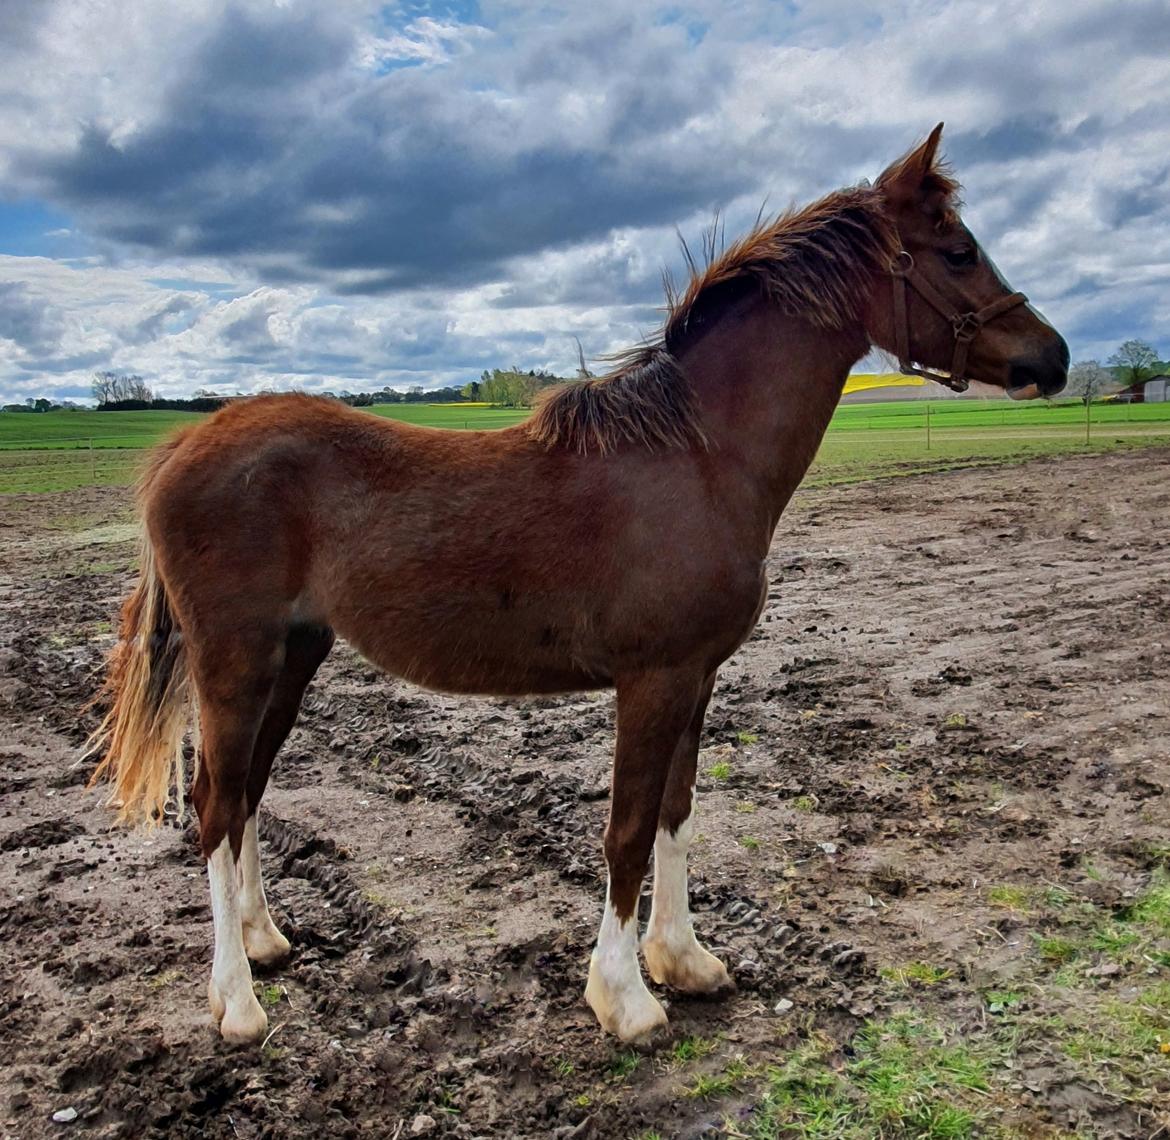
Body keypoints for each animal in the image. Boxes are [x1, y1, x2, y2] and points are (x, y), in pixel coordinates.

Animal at [86, 124, 1068, 1046]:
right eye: (957, 250)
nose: (1052, 358)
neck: (699, 458)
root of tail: (186, 444)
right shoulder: (653, 680)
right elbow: (626, 832)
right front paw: (624, 996)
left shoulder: (697, 679)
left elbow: (675, 813)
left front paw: (683, 959)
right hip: (235, 662)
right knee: (215, 805)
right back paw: (236, 1003)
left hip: (293, 656)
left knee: (249, 791)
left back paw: (264, 941)